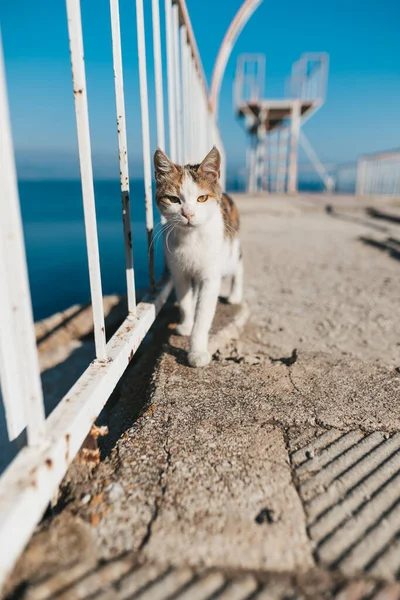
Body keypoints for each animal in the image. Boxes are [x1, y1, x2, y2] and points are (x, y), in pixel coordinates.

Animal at [152, 147, 241, 368]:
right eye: (173, 199)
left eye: (202, 198)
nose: (188, 214)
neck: (191, 238)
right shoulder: (178, 272)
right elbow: (184, 301)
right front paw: (186, 323)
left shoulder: (211, 276)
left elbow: (204, 316)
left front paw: (197, 351)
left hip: (230, 249)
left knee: (239, 266)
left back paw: (235, 294)